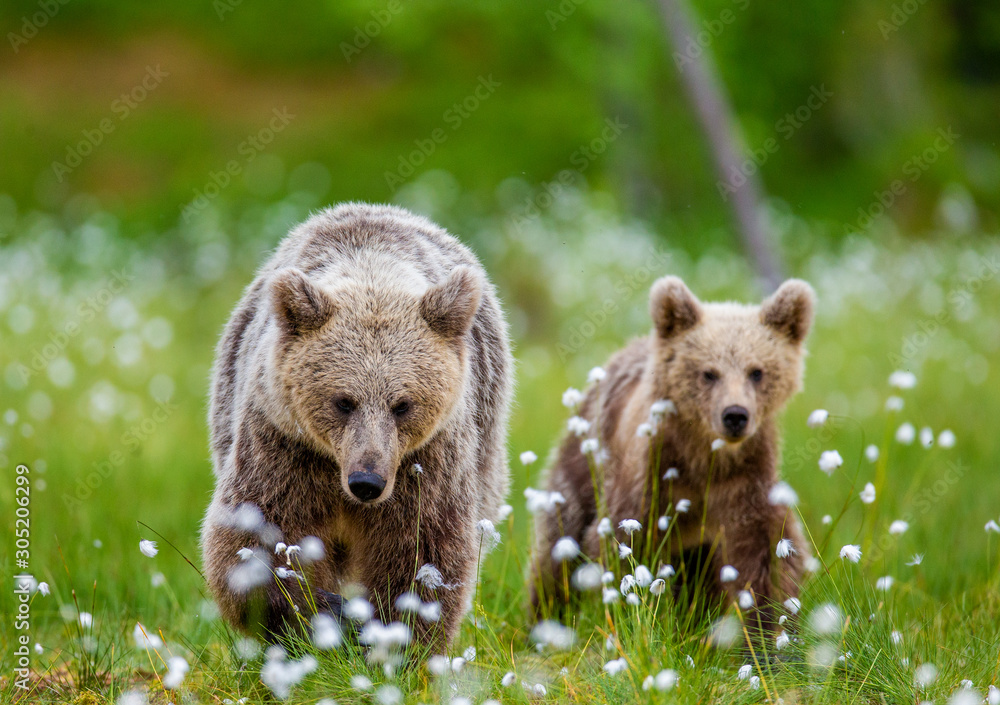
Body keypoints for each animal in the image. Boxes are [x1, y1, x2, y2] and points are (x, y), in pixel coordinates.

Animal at [201, 203, 512, 651]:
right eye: (343, 401)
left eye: (403, 405)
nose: (367, 481)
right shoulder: (284, 442)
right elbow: (256, 535)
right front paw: (316, 613)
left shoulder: (427, 458)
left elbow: (423, 549)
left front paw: (394, 635)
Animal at [530, 275, 814, 635]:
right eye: (709, 372)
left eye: (757, 371)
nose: (735, 415)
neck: (704, 460)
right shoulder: (652, 481)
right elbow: (622, 548)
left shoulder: (745, 486)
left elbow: (765, 557)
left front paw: (767, 631)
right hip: (584, 464)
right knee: (559, 543)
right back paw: (544, 618)